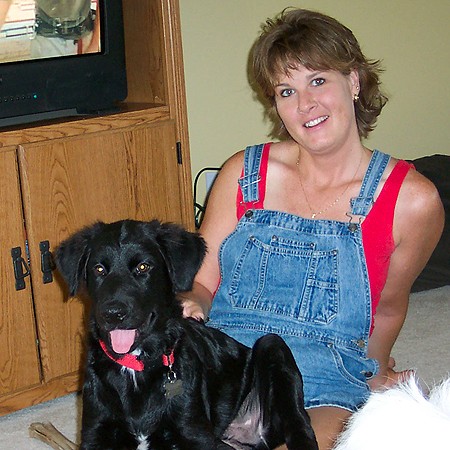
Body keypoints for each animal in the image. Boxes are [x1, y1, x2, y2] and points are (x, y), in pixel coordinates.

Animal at [55, 220, 316, 448]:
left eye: (143, 267)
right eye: (98, 269)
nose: (112, 313)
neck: (135, 366)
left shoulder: (194, 434)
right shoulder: (96, 434)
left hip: (273, 346)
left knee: (299, 424)